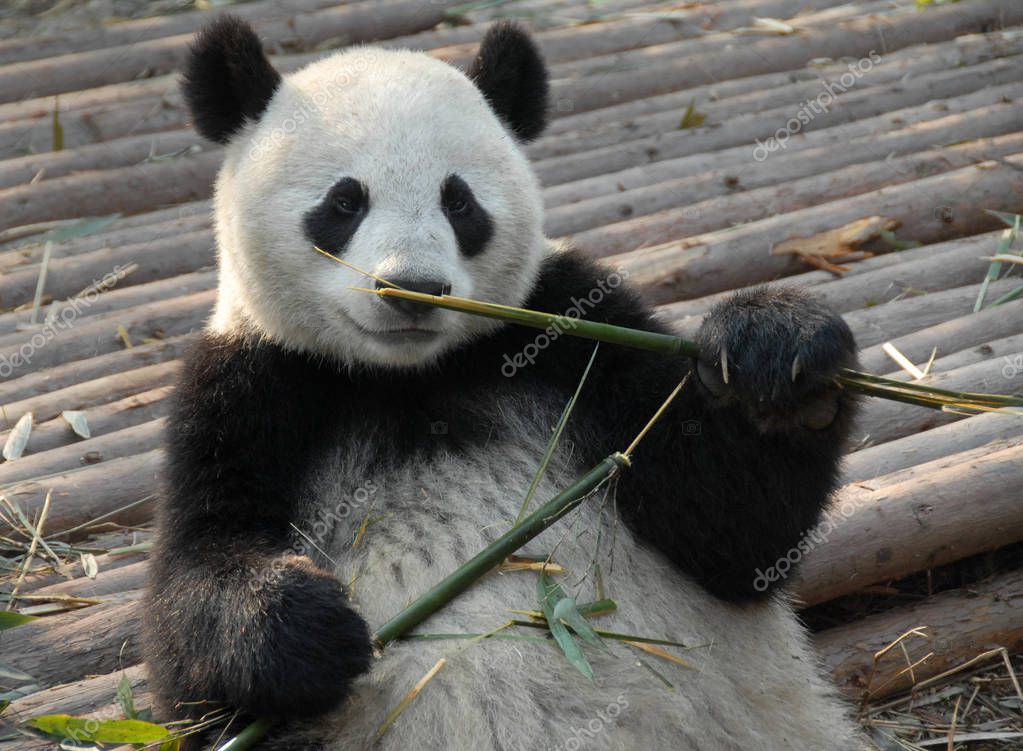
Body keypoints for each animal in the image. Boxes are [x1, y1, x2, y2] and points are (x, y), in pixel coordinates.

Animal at [143, 15, 870, 751]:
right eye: (344, 201)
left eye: (459, 201)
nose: (412, 288)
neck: (410, 378)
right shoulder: (251, 386)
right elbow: (194, 599)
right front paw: (307, 625)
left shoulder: (573, 334)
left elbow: (732, 528)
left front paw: (775, 355)